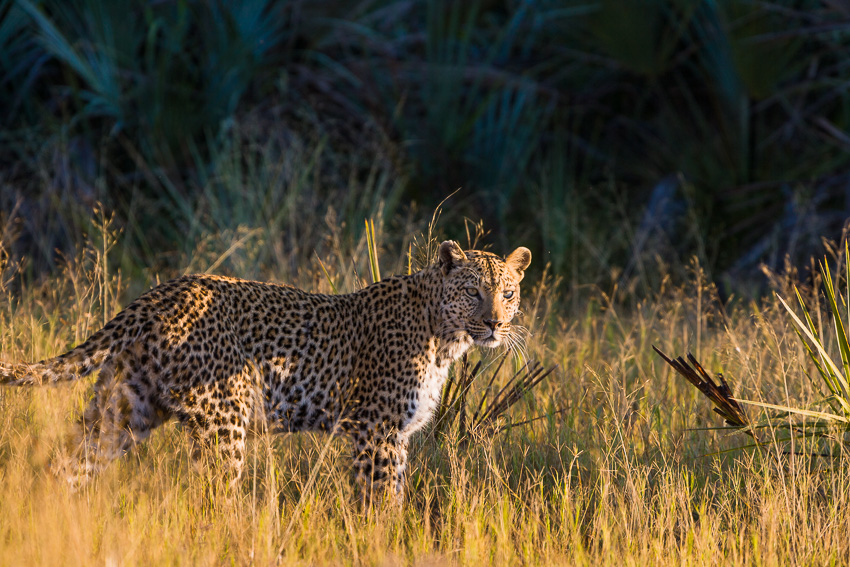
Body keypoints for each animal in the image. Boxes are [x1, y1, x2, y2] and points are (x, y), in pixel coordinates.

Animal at [0, 240, 531, 501]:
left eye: (507, 293)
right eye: (473, 291)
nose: (495, 324)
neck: (445, 337)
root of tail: (159, 294)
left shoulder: (393, 434)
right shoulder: (375, 429)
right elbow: (380, 501)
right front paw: (382, 542)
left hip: (125, 407)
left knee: (66, 467)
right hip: (223, 420)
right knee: (211, 500)